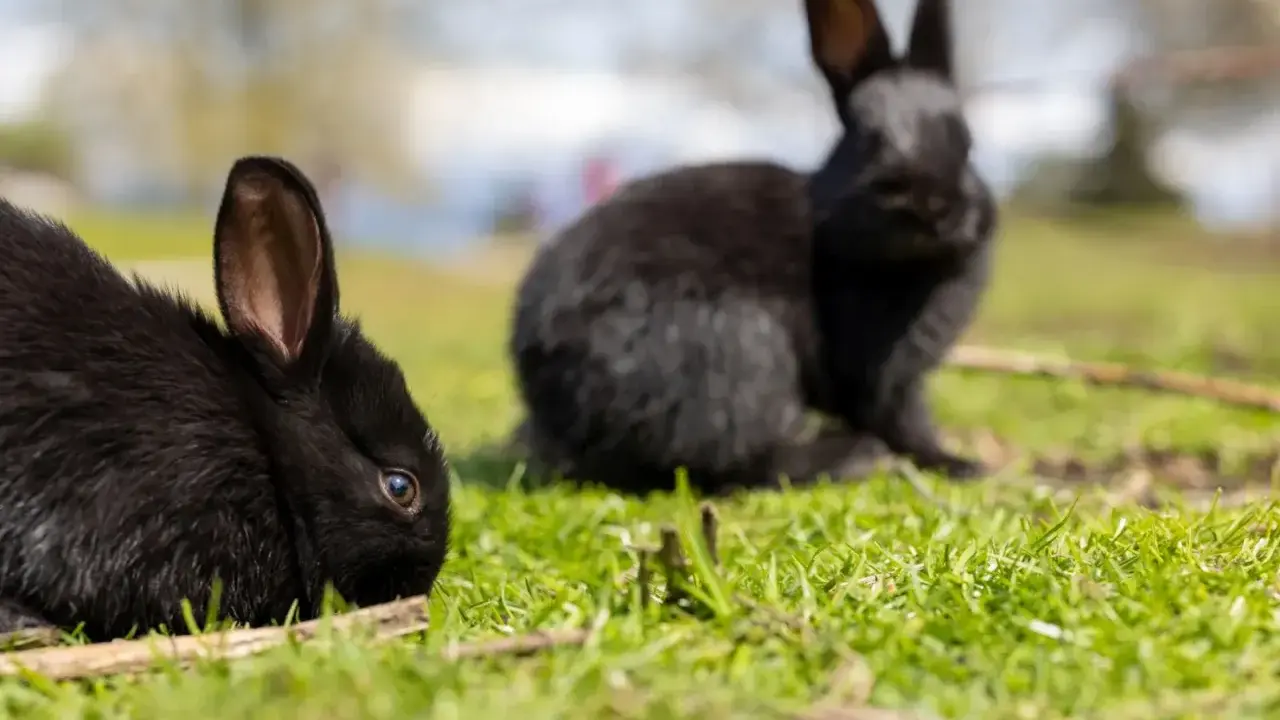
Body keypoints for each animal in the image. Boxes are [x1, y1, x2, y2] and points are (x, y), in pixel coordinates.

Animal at [508, 0, 998, 495]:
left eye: (967, 143)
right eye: (869, 140)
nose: (933, 206)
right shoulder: (880, 374)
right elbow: (904, 422)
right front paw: (958, 463)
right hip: (738, 353)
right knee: (730, 460)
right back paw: (851, 456)